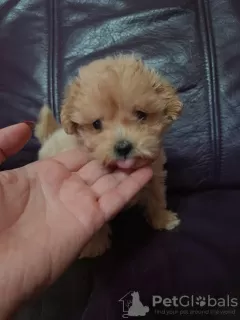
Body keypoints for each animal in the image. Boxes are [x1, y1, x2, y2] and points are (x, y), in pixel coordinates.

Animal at [35, 54, 182, 258]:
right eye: (96, 124)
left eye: (141, 115)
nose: (123, 147)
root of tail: (49, 137)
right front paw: (95, 245)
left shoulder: (155, 173)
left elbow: (157, 196)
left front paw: (163, 218)